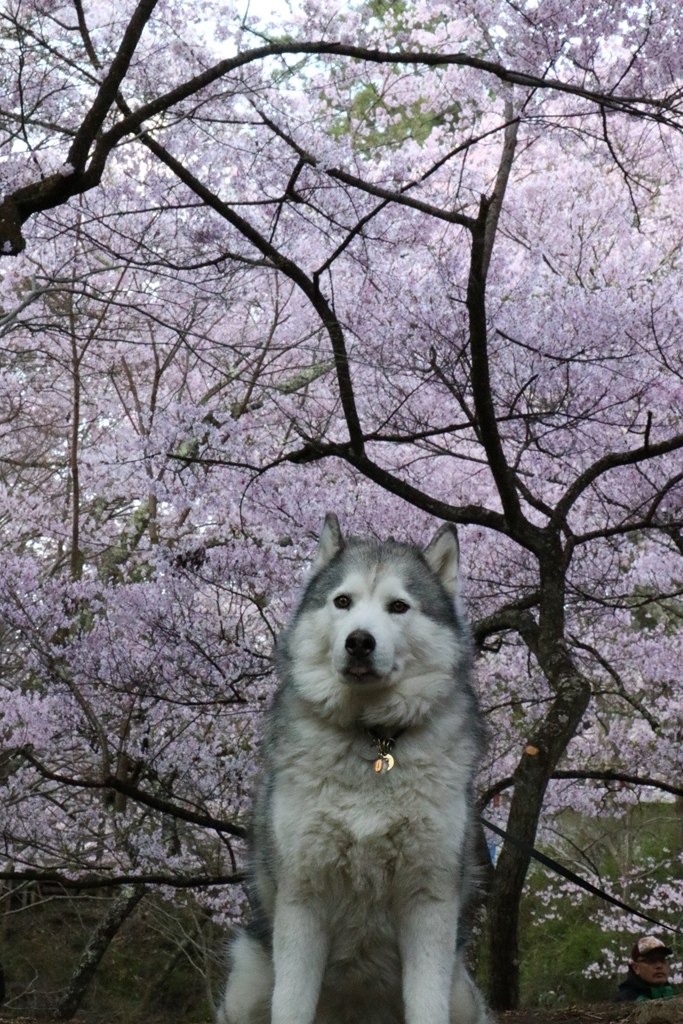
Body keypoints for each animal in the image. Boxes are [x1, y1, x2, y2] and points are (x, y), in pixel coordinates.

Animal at [222, 516, 493, 1024]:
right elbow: (291, 1004)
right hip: (246, 986)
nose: (360, 642)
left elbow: (426, 1004)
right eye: (342, 601)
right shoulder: (302, 898)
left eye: (398, 606)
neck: (374, 739)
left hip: (464, 996)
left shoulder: (430, 901)